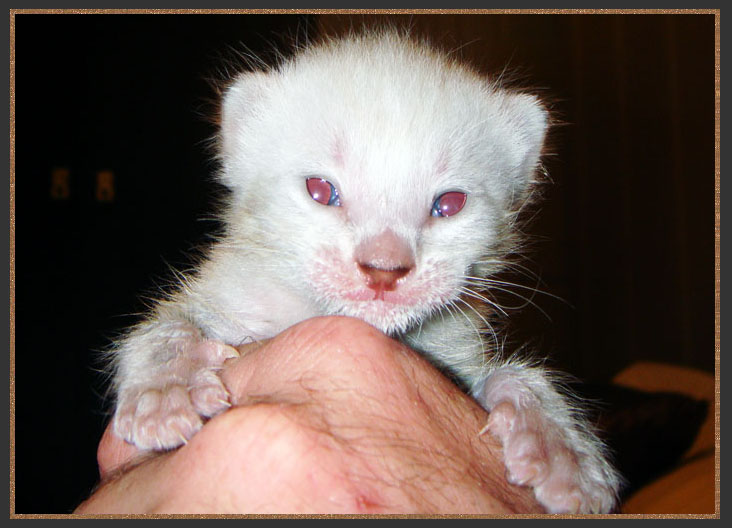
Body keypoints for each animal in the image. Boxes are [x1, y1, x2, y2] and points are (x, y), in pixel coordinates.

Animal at [108, 32, 620, 512]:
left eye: (451, 203)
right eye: (320, 189)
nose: (383, 269)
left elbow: (511, 376)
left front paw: (560, 446)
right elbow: (166, 325)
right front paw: (166, 388)